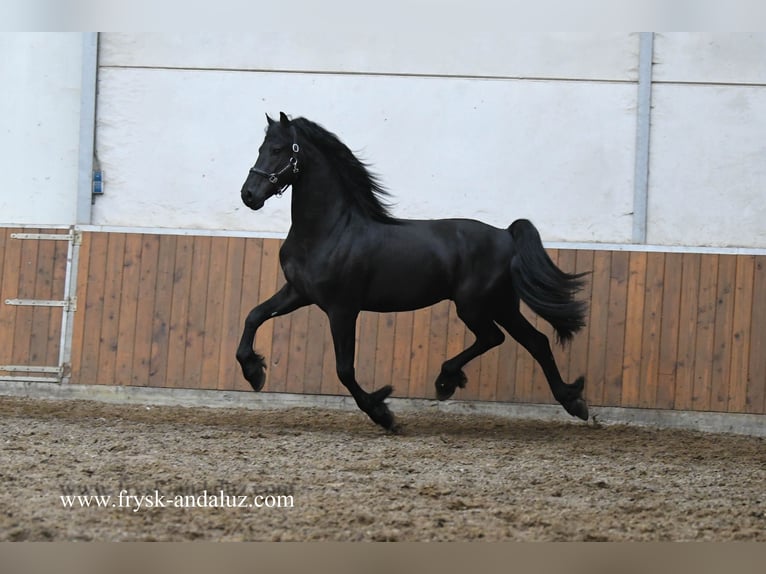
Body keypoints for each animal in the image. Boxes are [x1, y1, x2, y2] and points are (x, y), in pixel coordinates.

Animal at [237, 112, 592, 432]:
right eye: (260, 147)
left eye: (279, 149)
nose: (248, 195)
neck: (329, 230)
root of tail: (506, 234)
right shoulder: (298, 292)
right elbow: (254, 316)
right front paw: (255, 372)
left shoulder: (342, 308)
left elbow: (344, 369)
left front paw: (383, 414)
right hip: (500, 305)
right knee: (535, 341)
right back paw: (570, 401)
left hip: (476, 305)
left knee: (498, 338)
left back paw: (448, 380)